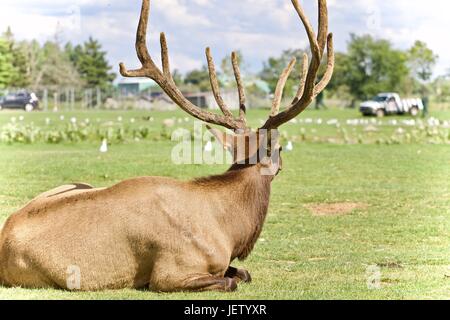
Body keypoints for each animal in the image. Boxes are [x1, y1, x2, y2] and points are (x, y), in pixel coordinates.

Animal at [0, 0, 330, 292]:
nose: (283, 161)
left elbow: (243, 273)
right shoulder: (171, 273)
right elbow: (231, 280)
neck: (229, 231)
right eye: (280, 150)